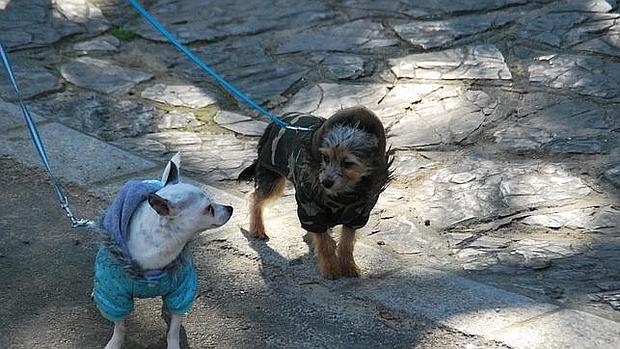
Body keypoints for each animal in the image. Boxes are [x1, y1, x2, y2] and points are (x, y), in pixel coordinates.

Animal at [93, 154, 234, 348]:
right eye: (209, 208)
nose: (230, 208)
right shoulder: (115, 296)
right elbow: (119, 326)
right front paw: (115, 343)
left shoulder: (181, 292)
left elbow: (173, 329)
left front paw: (173, 344)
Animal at [239, 106, 392, 278]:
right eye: (325, 157)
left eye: (348, 163)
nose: (325, 182)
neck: (342, 196)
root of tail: (278, 120)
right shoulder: (311, 209)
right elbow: (325, 243)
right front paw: (330, 268)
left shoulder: (357, 214)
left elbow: (347, 242)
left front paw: (348, 266)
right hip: (273, 176)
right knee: (255, 197)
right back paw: (257, 228)